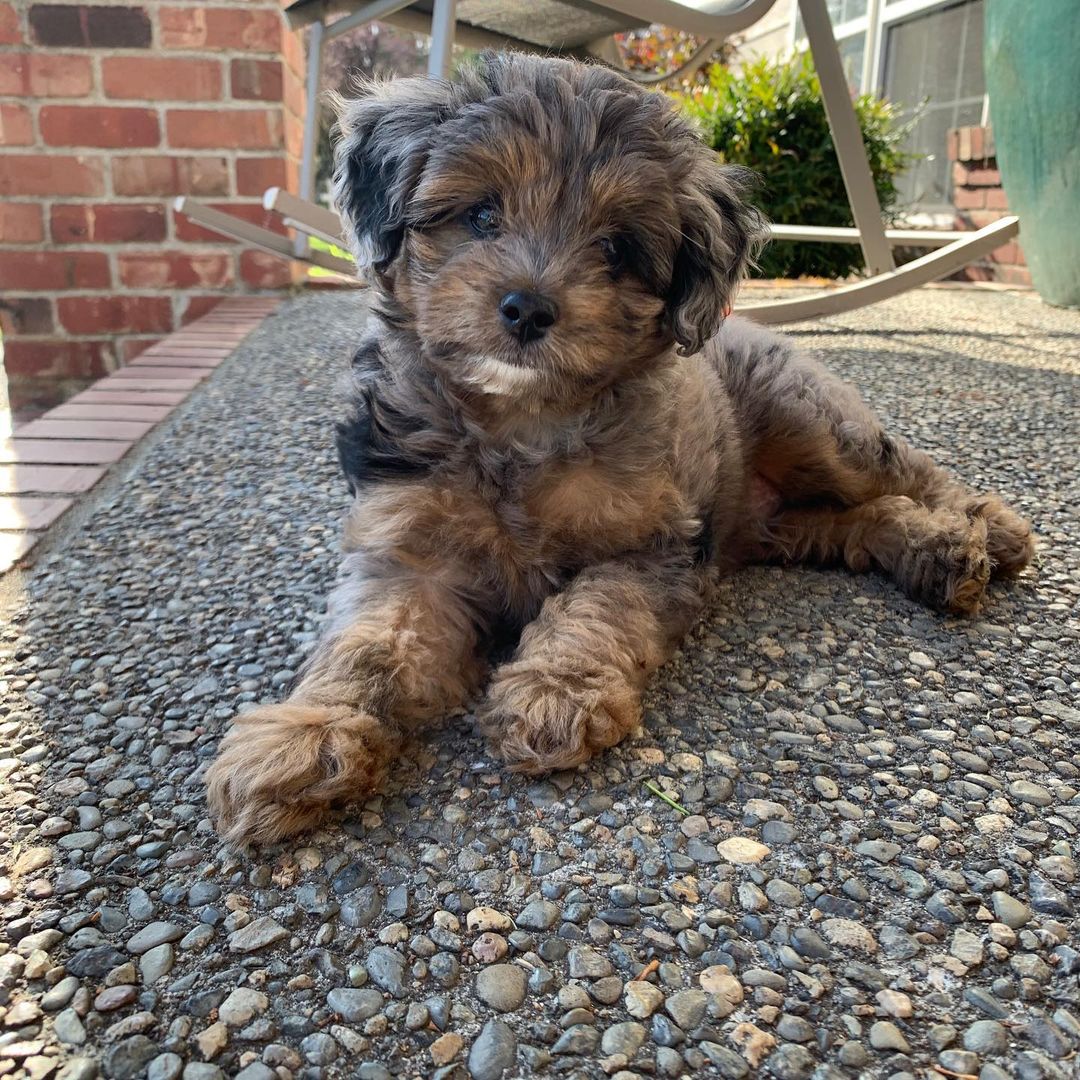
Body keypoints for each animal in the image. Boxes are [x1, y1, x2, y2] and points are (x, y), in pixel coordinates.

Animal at [206, 53, 1034, 845]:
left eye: (614, 248)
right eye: (481, 214)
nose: (527, 308)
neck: (519, 425)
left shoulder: (650, 542)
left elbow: (595, 604)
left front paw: (554, 690)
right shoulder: (409, 553)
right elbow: (369, 644)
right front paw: (301, 738)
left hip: (814, 426)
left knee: (902, 471)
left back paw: (986, 529)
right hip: (774, 521)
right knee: (858, 520)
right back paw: (937, 553)